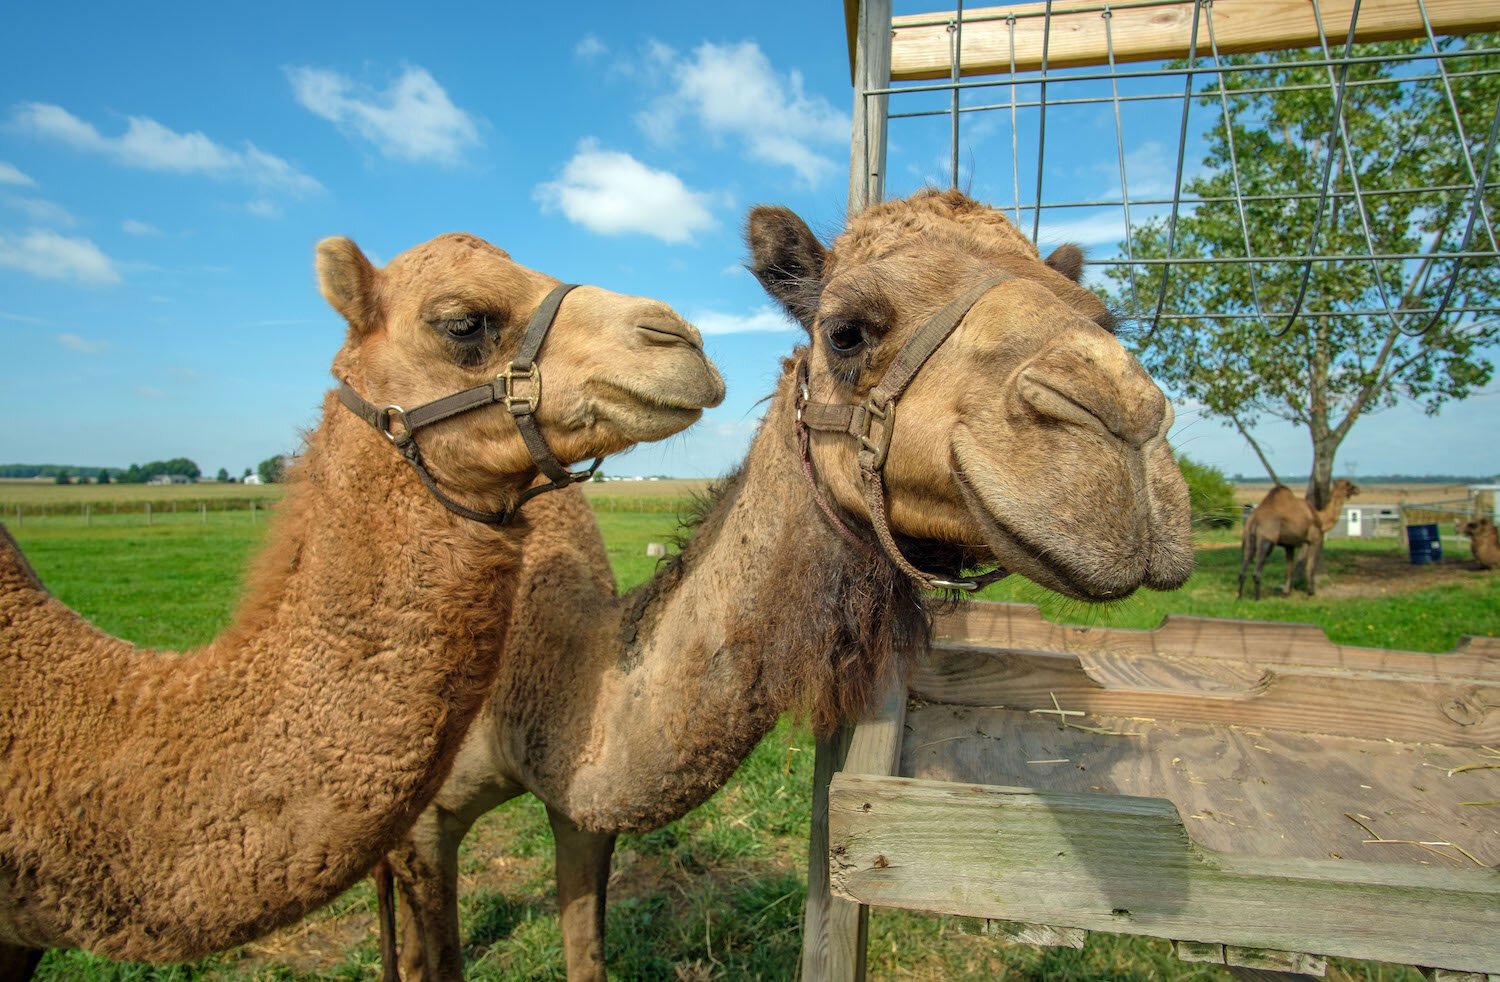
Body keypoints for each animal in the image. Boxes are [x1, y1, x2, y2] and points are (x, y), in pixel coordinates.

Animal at [378, 190, 1194, 982]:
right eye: (846, 332)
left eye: (1105, 319)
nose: (1123, 420)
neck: (550, 663)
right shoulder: (421, 821)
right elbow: (432, 957)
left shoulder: (579, 815)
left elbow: (585, 953)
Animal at [1230, 479, 1362, 599]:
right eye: (1349, 484)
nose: (1357, 489)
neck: (1320, 518)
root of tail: (1254, 519)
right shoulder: (1314, 539)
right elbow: (1310, 567)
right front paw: (1311, 592)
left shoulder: (1289, 545)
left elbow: (1289, 569)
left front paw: (1286, 593)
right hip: (1267, 538)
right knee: (1257, 571)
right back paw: (1257, 599)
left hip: (1247, 537)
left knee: (1243, 566)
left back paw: (1239, 597)